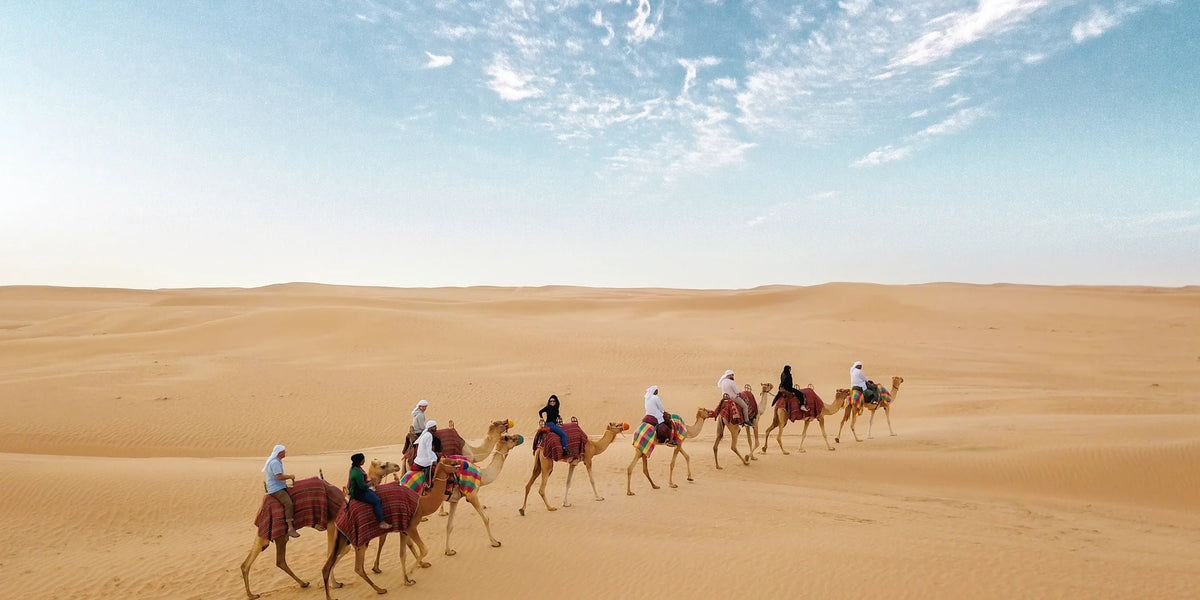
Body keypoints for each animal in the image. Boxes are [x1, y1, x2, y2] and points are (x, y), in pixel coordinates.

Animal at [320, 458, 463, 599]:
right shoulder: (411, 527)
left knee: (328, 564)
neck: (422, 504)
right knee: (357, 567)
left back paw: (334, 591)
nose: (459, 465)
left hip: (343, 537)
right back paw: (379, 589)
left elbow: (402, 554)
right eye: (452, 463)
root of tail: (341, 514)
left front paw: (407, 580)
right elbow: (424, 549)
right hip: (359, 541)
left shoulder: (403, 530)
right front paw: (411, 572)